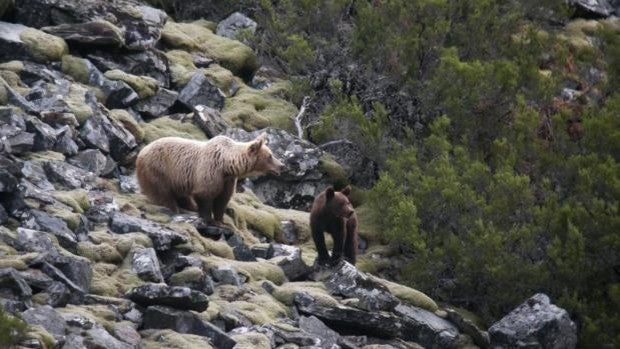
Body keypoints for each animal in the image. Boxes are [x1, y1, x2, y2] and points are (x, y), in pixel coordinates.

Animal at [136, 133, 286, 226]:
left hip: (177, 179)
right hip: (158, 169)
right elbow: (205, 194)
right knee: (162, 193)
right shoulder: (210, 170)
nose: (282, 165)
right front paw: (209, 219)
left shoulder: (227, 180)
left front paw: (221, 220)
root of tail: (142, 151)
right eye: (270, 156)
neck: (227, 165)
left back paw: (190, 206)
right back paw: (175, 208)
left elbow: (222, 199)